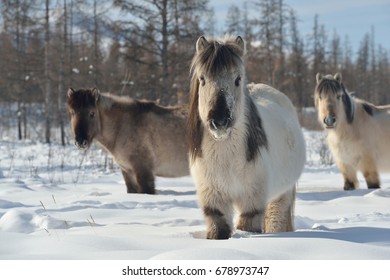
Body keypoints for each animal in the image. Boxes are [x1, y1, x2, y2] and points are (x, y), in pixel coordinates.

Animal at [187, 36, 306, 240]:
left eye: (237, 79)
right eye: (202, 79)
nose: (219, 120)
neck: (226, 158)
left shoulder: (252, 201)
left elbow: (248, 226)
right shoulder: (214, 200)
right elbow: (218, 231)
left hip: (281, 195)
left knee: (276, 221)